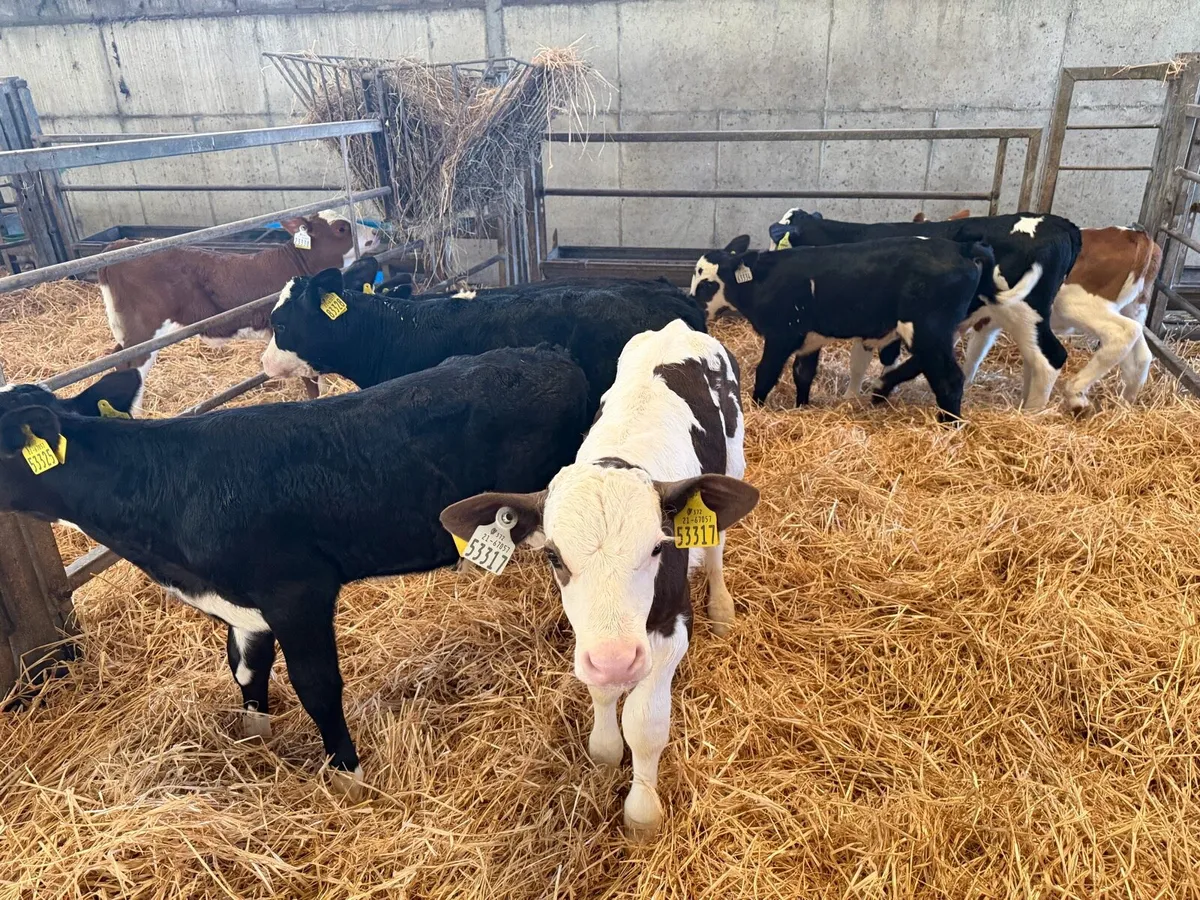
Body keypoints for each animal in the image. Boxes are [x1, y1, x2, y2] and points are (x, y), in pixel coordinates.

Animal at [0, 346, 590, 798]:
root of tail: (551, 355)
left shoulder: (297, 591)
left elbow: (317, 685)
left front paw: (349, 777)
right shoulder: (242, 605)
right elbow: (245, 669)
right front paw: (254, 736)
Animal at [440, 319, 759, 838]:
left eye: (658, 547)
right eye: (553, 556)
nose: (616, 659)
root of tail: (677, 327)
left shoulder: (672, 624)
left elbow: (645, 723)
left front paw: (642, 810)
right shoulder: (591, 640)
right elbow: (602, 692)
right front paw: (606, 749)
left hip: (733, 459)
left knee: (716, 546)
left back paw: (722, 606)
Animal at [690, 235, 992, 422]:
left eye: (707, 283)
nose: (693, 305)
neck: (762, 282)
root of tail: (962, 248)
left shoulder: (781, 335)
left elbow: (766, 374)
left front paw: (756, 407)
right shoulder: (810, 340)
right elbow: (803, 374)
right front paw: (802, 407)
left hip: (928, 329)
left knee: (949, 378)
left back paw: (949, 426)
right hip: (939, 332)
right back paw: (882, 389)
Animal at [769, 209, 1082, 411]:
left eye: (778, 239)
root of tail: (1059, 223)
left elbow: (849, 362)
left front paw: (850, 398)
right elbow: (871, 360)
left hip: (1023, 310)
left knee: (1050, 358)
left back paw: (1031, 414)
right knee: (1034, 358)